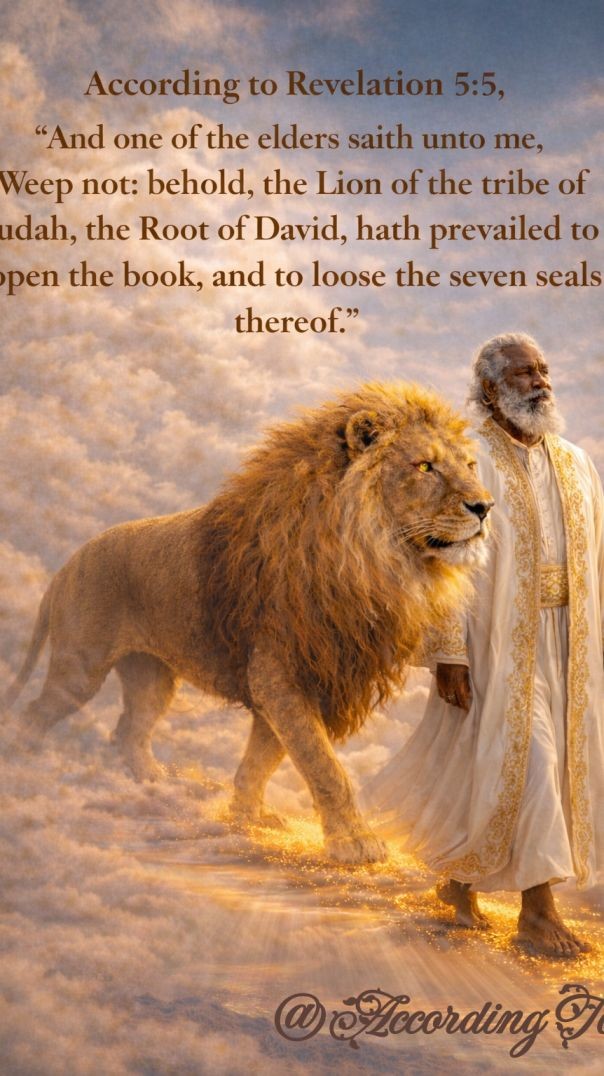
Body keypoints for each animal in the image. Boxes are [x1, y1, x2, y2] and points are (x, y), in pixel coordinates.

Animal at [5, 382, 493, 864]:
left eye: (470, 465)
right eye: (425, 466)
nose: (485, 506)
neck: (370, 560)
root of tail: (66, 565)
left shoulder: (308, 680)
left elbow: (262, 759)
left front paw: (246, 816)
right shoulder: (278, 675)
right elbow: (322, 764)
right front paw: (353, 842)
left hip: (152, 677)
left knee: (129, 730)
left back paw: (153, 785)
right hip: (80, 670)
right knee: (32, 717)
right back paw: (26, 775)